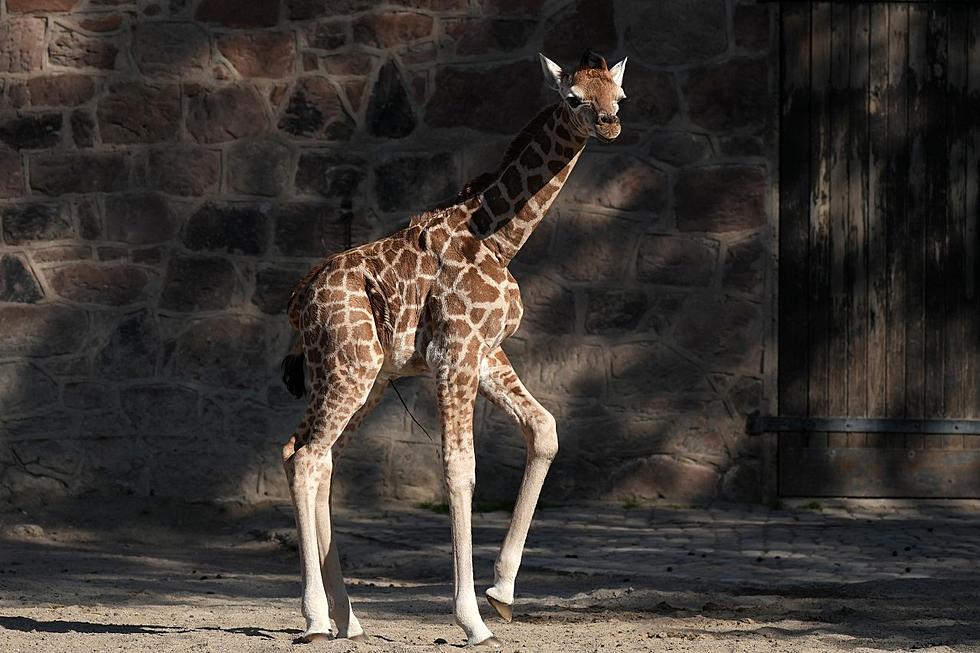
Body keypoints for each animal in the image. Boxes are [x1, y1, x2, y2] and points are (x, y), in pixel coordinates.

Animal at [278, 51, 628, 648]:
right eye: (574, 97)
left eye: (618, 96)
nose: (609, 124)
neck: (500, 239)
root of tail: (300, 302)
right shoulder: (456, 353)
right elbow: (459, 467)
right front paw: (472, 620)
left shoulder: (486, 354)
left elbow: (545, 430)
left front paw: (502, 593)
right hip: (348, 368)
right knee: (306, 458)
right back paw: (317, 618)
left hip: (366, 378)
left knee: (312, 456)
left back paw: (346, 618)